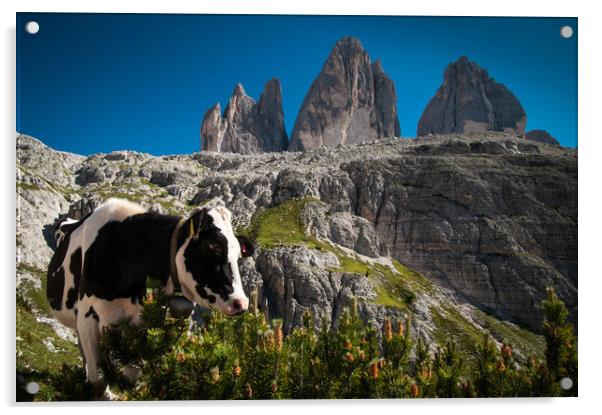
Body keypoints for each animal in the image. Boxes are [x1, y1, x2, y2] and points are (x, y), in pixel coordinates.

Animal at [46, 200, 253, 398]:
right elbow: (98, 383)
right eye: (213, 245)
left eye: (238, 254)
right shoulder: (87, 317)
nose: (241, 302)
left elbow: (134, 379)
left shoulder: (139, 324)